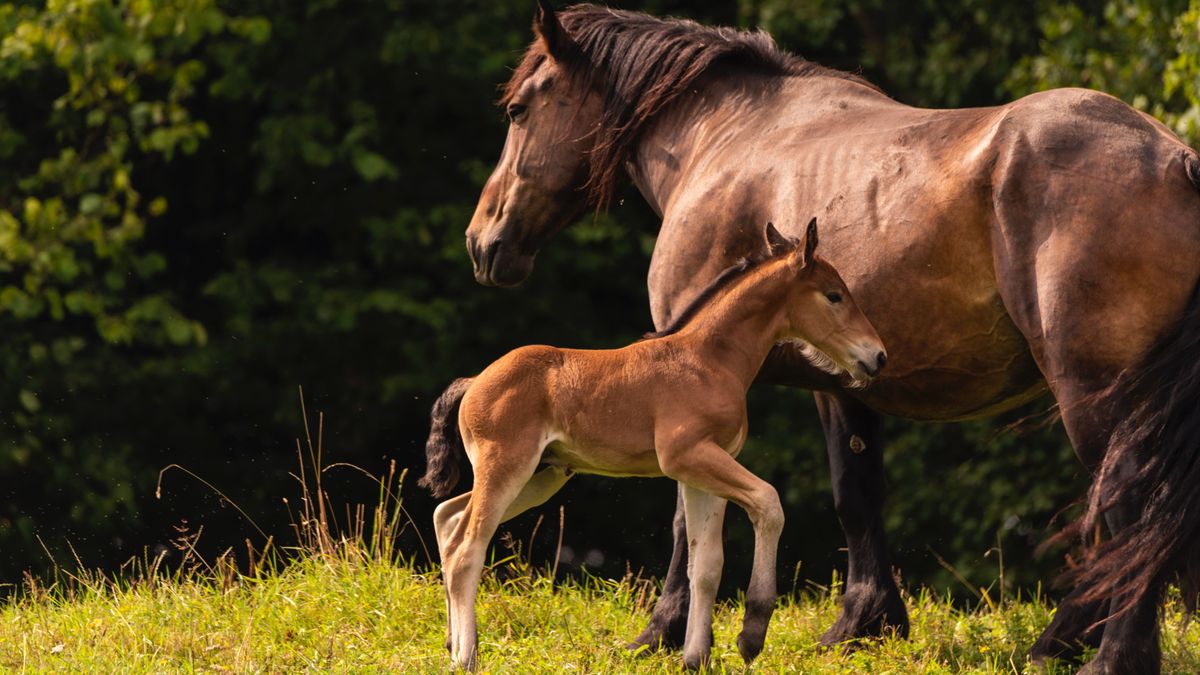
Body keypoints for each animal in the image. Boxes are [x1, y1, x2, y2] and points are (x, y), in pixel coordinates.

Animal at [420, 220, 883, 667]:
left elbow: (706, 565)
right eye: (834, 295)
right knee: (467, 546)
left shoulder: (703, 471)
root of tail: (474, 381)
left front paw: (696, 658)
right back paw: (466, 656)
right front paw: (751, 635)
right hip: (507, 466)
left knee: (447, 517)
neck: (710, 360)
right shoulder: (688, 456)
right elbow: (768, 503)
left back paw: (451, 642)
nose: (877, 356)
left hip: (541, 475)